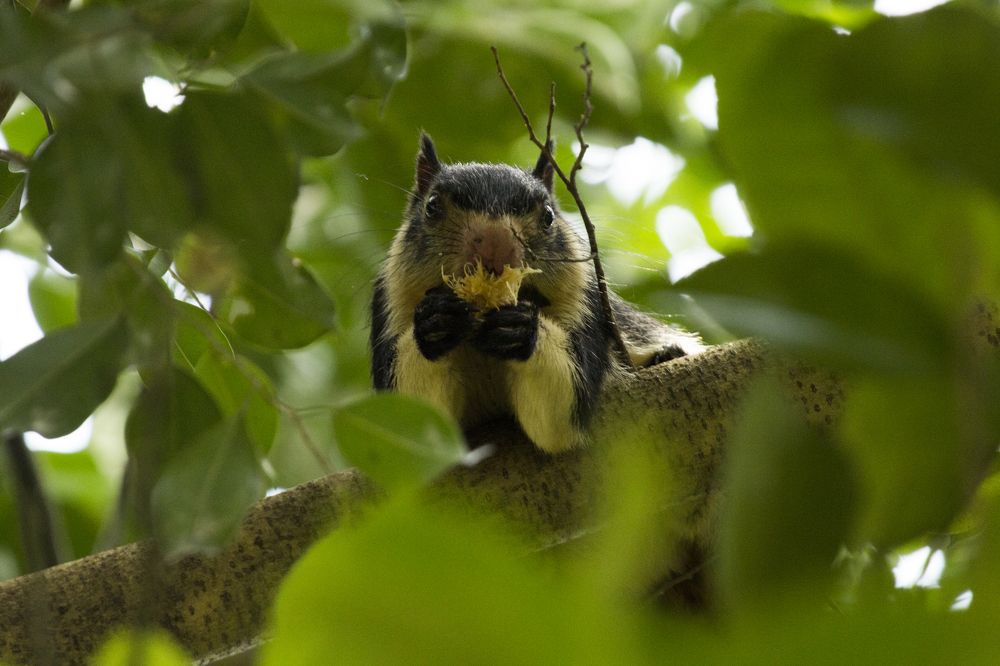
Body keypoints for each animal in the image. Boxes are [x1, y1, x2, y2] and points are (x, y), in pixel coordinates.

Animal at [370, 134, 703, 453]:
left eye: (548, 216)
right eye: (431, 206)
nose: (496, 243)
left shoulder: (589, 306)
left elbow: (560, 416)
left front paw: (521, 329)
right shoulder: (388, 303)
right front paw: (436, 322)